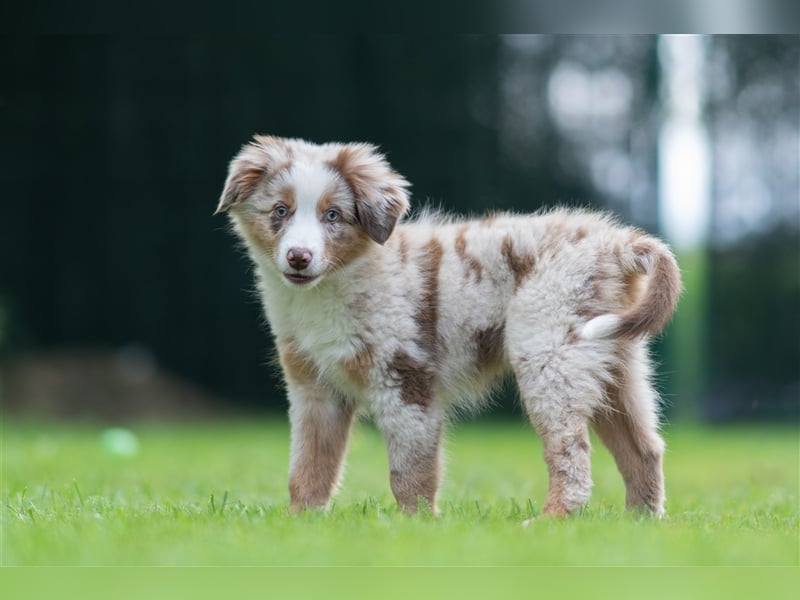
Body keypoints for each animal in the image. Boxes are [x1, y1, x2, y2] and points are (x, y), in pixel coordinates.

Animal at [216, 135, 680, 516]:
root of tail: (615, 243)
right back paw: (640, 524)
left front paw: (415, 527)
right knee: (645, 449)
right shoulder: (314, 389)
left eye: (333, 216)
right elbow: (309, 468)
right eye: (281, 211)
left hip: (550, 357)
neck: (332, 286)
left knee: (572, 456)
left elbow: (410, 472)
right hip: (614, 366)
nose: (299, 257)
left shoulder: (405, 381)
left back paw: (548, 522)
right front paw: (301, 525)